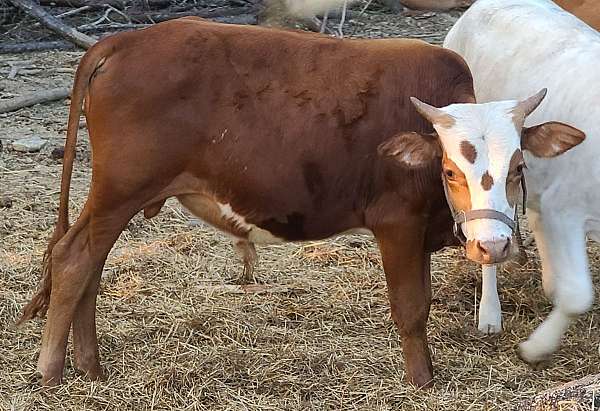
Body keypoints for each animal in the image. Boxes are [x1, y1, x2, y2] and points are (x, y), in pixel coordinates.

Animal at [18, 17, 478, 388]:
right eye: (450, 169)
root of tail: (125, 40)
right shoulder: (399, 220)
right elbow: (411, 306)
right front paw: (422, 382)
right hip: (121, 190)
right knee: (74, 258)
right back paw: (51, 372)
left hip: (116, 199)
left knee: (90, 263)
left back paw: (90, 367)